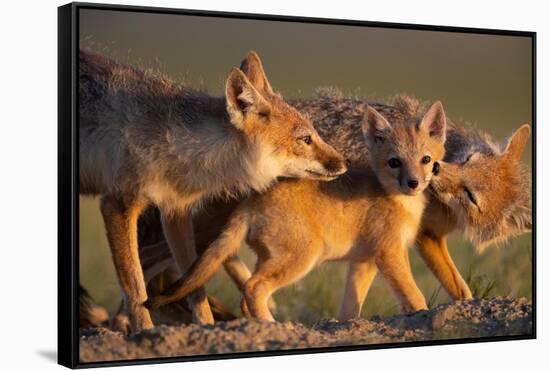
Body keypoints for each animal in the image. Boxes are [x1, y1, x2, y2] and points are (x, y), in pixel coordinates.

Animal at [80, 50, 348, 332]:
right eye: (305, 139)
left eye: (315, 134)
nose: (345, 163)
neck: (178, 146)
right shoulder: (118, 203)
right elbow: (134, 286)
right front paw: (146, 332)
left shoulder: (176, 211)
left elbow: (194, 286)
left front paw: (206, 327)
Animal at [146, 101, 448, 320]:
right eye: (394, 162)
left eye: (426, 160)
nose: (413, 183)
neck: (398, 201)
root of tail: (250, 203)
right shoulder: (389, 254)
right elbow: (414, 296)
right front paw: (423, 316)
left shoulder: (364, 262)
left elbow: (350, 309)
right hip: (302, 258)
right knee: (253, 288)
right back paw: (272, 328)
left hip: (271, 259)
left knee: (247, 297)